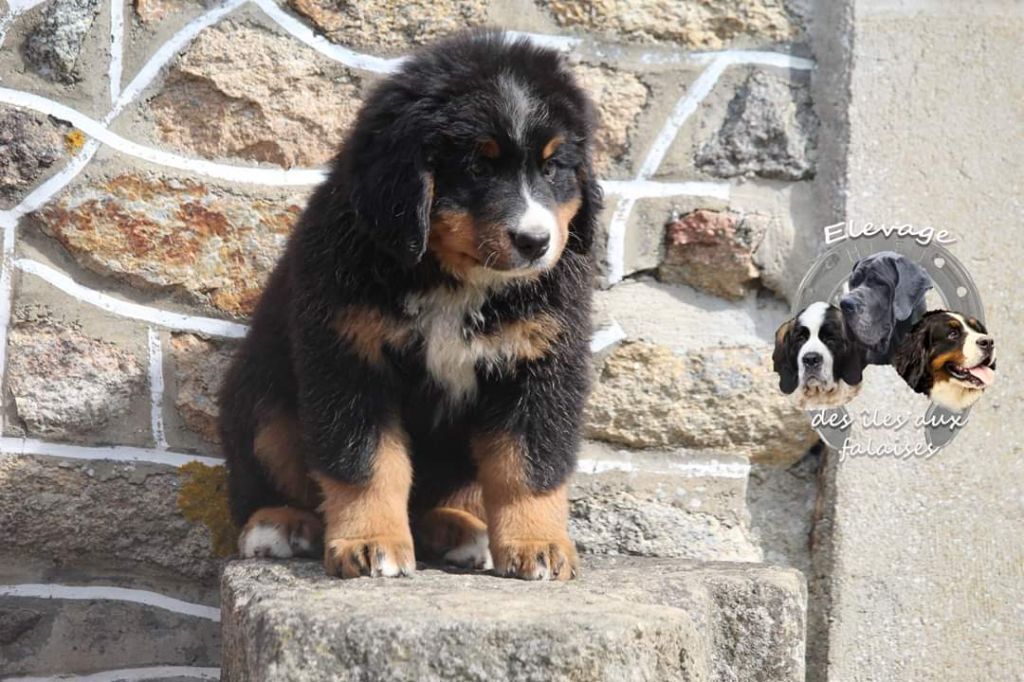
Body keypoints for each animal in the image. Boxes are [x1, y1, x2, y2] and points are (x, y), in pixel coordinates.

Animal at [218, 29, 598, 577]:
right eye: (477, 167)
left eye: (552, 168)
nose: (535, 242)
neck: (454, 279)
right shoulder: (349, 355)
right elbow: (367, 463)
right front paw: (371, 542)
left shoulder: (540, 364)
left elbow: (527, 466)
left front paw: (537, 545)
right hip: (263, 401)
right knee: (269, 474)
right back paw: (279, 523)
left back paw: (459, 529)